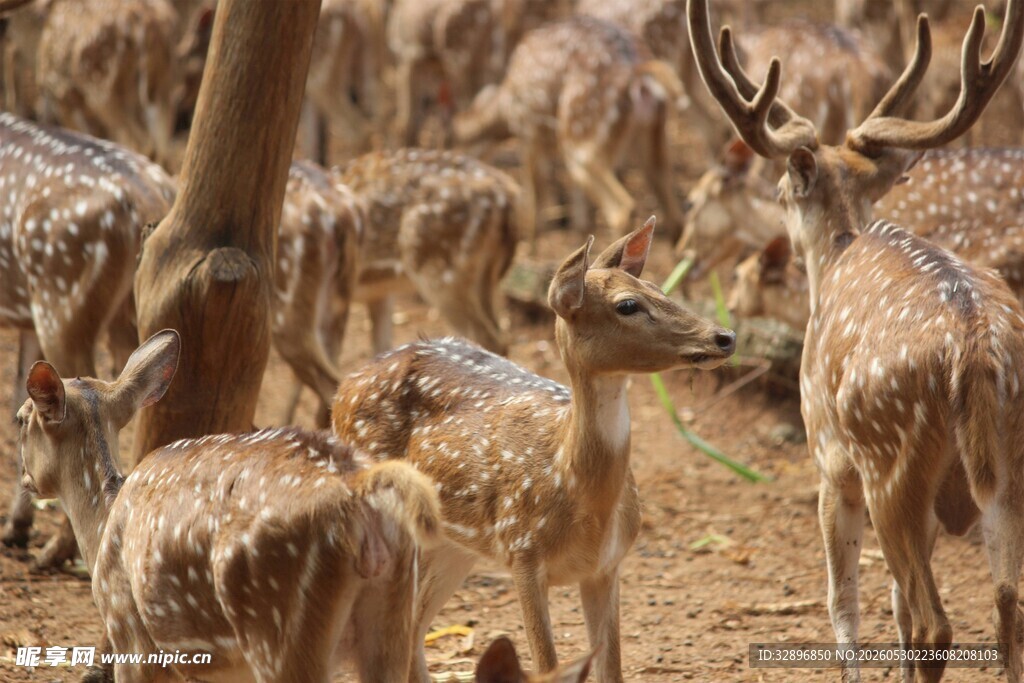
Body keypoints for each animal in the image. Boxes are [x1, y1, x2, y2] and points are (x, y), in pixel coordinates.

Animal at [0, 112, 176, 569]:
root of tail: (146, 201)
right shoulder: (26, 322)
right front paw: (16, 526)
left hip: (61, 301)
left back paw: (56, 550)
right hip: (128, 312)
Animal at [16, 329, 442, 682]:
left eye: (21, 419)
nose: (24, 479)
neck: (101, 528)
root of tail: (359, 491)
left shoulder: (133, 639)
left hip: (281, 633)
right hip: (394, 617)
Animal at [332, 218, 737, 683]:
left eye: (658, 286)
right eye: (628, 305)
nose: (725, 336)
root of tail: (343, 387)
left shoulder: (606, 566)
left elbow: (611, 670)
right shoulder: (522, 551)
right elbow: (547, 665)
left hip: (455, 543)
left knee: (415, 625)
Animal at [453, 16, 687, 246]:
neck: (505, 108)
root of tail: (638, 70)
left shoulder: (529, 128)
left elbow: (535, 189)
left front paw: (529, 245)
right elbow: (578, 207)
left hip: (581, 137)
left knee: (621, 208)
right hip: (651, 131)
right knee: (673, 214)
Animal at [688, 0, 1024, 680]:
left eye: (781, 191)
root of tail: (974, 346)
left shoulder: (826, 454)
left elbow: (843, 606)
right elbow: (892, 608)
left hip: (888, 461)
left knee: (934, 622)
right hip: (1007, 465)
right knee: (1007, 608)